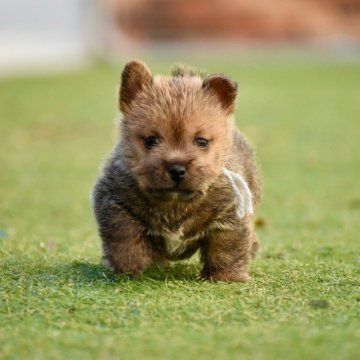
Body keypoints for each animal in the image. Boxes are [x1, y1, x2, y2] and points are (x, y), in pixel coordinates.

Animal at [93, 60, 262, 282]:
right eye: (151, 140)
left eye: (201, 141)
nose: (177, 169)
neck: (175, 204)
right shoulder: (116, 204)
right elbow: (125, 240)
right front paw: (129, 270)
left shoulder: (230, 215)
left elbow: (226, 249)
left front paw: (226, 277)